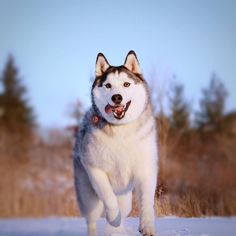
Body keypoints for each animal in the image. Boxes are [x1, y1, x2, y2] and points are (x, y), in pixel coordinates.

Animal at [74, 51, 159, 236]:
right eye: (108, 85)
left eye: (126, 84)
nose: (117, 97)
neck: (120, 130)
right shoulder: (95, 169)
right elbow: (108, 197)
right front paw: (114, 218)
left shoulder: (145, 169)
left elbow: (147, 202)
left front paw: (147, 226)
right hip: (88, 197)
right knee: (92, 220)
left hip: (125, 197)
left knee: (124, 208)